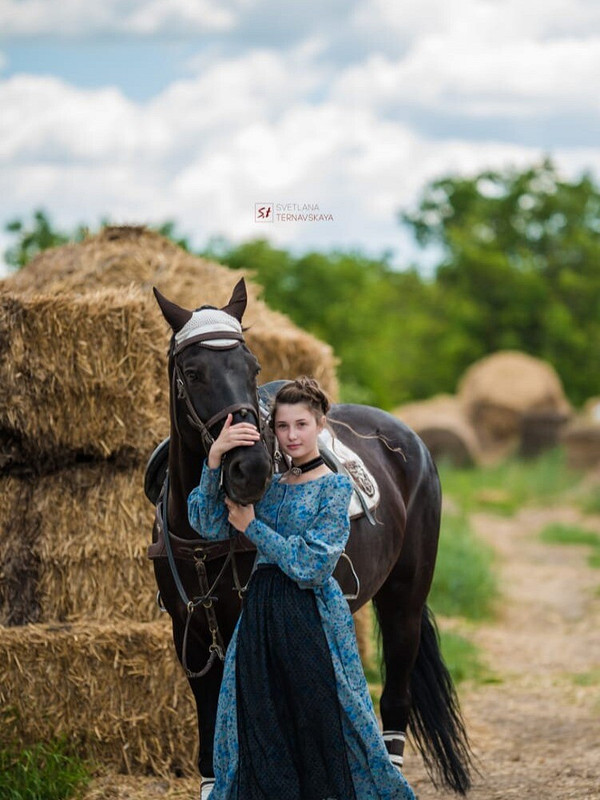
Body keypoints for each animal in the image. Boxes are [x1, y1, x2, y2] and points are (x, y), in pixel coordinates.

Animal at [148, 278, 472, 792]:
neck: (201, 542)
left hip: (404, 602)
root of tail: (411, 442)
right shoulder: (192, 635)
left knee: (394, 704)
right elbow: (209, 752)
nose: (249, 469)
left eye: (253, 366)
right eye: (194, 372)